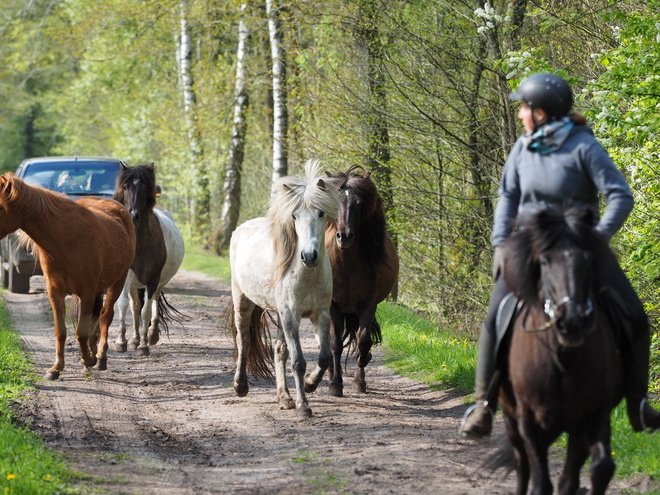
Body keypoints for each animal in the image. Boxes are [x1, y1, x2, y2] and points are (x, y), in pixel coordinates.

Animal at [0, 172, 135, 378]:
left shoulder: (86, 292)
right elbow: (60, 330)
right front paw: (56, 368)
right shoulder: (55, 292)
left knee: (106, 315)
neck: (65, 239)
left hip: (117, 282)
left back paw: (100, 357)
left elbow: (81, 330)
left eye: (0, 207)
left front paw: (88, 359)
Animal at [113, 165, 186, 358]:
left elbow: (146, 310)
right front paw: (121, 342)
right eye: (125, 187)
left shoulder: (153, 279)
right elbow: (124, 305)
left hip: (160, 282)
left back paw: (151, 335)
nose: (133, 215)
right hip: (134, 284)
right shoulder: (126, 277)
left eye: (146, 188)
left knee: (153, 302)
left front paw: (144, 346)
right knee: (135, 306)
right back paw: (134, 339)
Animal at [228, 159, 340, 418]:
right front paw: (304, 406)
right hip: (243, 300)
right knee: (244, 339)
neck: (306, 274)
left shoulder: (320, 314)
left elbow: (325, 357)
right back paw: (241, 386)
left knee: (279, 350)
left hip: (279, 313)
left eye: (320, 213)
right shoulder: (291, 315)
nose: (309, 256)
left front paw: (309, 385)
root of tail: (241, 228)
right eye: (295, 216)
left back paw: (284, 397)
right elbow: (298, 361)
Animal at [324, 167, 398, 400]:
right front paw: (336, 384)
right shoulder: (333, 306)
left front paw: (360, 379)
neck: (346, 265)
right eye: (335, 201)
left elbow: (364, 340)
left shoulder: (368, 304)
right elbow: (336, 343)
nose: (344, 237)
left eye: (359, 204)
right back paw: (329, 372)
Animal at [492, 206, 628, 495]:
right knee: (522, 464)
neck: (563, 359)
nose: (572, 322)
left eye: (588, 259)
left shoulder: (592, 416)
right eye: (544, 262)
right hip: (511, 417)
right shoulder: (529, 420)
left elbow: (597, 470)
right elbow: (541, 482)